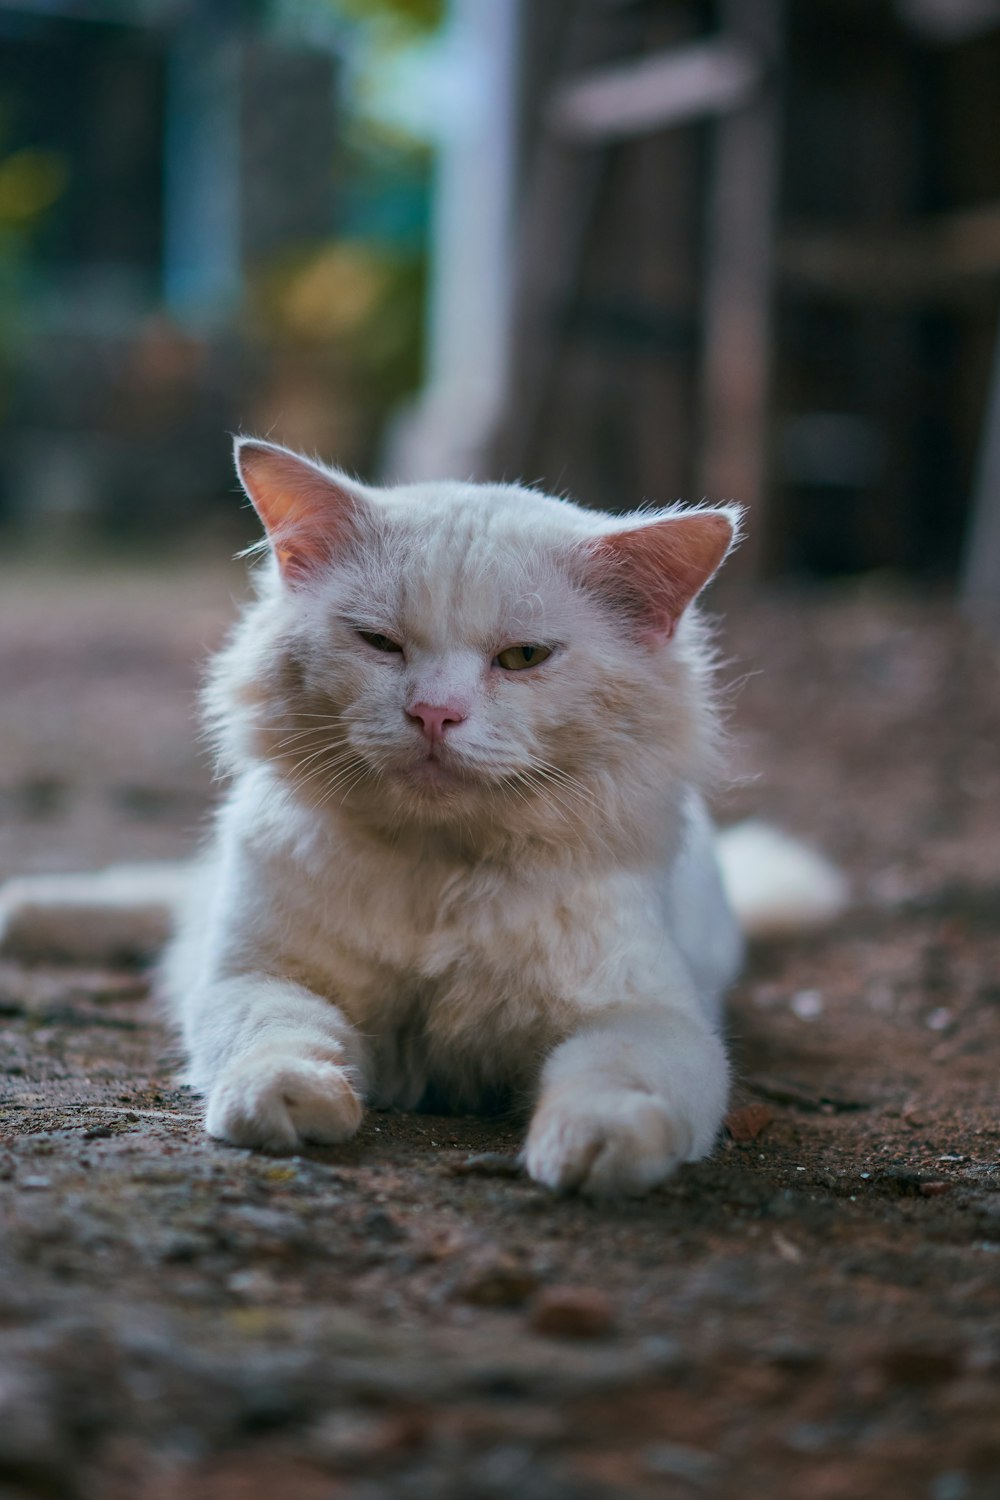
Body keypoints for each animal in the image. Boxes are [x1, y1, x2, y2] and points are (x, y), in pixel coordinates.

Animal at [0, 438, 845, 1194]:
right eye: (379, 643)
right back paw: (25, 912)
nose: (434, 714)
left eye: (523, 659)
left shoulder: (647, 1015)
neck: (437, 869)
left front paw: (591, 1150)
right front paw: (288, 1102)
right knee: (150, 898)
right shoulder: (259, 974)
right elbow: (277, 1035)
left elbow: (615, 1080)